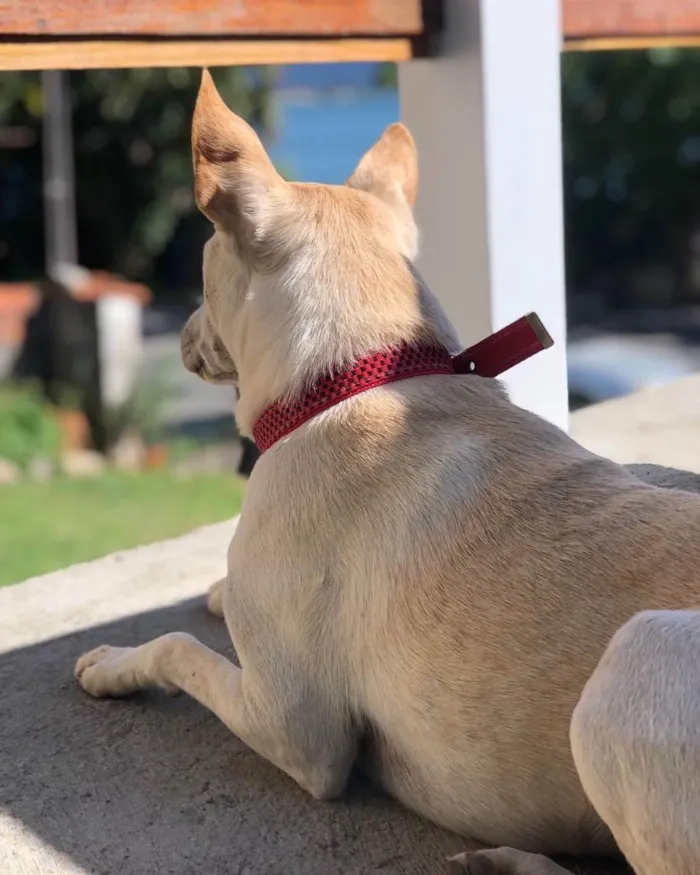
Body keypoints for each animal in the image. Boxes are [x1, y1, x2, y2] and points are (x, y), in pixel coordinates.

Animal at [76, 73, 700, 875]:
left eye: (206, 268)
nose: (181, 333)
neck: (365, 377)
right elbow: (214, 609)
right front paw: (213, 592)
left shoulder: (296, 731)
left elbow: (177, 648)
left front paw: (112, 661)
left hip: (636, 661)